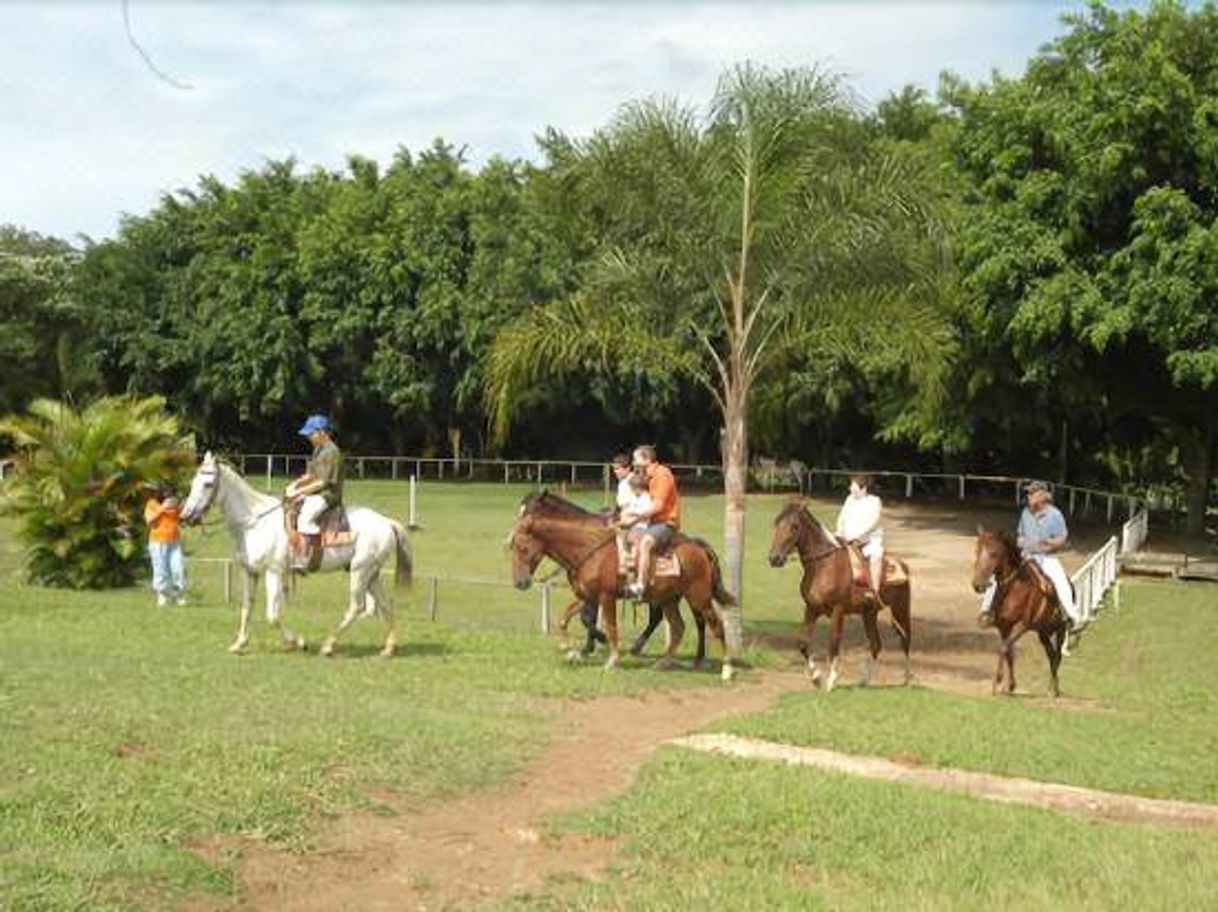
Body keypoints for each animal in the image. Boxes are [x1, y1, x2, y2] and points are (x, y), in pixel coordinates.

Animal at [177, 452, 411, 652]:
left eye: (207, 484)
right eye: (193, 483)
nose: (185, 516)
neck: (254, 522)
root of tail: (387, 522)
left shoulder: (273, 572)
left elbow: (272, 616)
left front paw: (297, 642)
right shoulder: (251, 572)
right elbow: (247, 607)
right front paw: (240, 643)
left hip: (360, 571)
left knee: (356, 607)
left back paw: (328, 646)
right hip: (372, 574)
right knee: (384, 604)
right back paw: (388, 648)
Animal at [506, 491, 735, 676]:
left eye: (522, 547)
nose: (520, 582)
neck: (588, 548)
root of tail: (698, 548)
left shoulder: (606, 597)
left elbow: (609, 626)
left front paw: (610, 658)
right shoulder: (588, 595)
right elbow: (566, 619)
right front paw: (570, 650)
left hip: (698, 596)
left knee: (713, 625)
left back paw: (724, 669)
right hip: (669, 599)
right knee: (678, 627)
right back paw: (663, 662)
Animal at [764, 499, 911, 691]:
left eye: (794, 526)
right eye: (776, 523)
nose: (775, 559)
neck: (824, 565)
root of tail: (902, 565)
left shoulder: (838, 610)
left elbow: (833, 643)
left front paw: (830, 681)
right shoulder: (811, 609)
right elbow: (803, 643)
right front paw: (816, 678)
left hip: (900, 610)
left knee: (905, 638)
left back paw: (907, 679)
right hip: (869, 614)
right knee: (876, 643)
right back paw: (865, 681)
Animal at [969, 526, 1066, 696]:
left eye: (994, 553)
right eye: (977, 551)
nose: (978, 585)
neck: (1016, 589)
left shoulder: (1022, 625)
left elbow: (1004, 648)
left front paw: (997, 683)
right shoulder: (1004, 626)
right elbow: (1009, 652)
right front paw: (1010, 685)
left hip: (1061, 629)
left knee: (1058, 654)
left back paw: (1054, 689)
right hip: (1043, 632)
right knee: (1051, 654)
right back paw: (1051, 688)